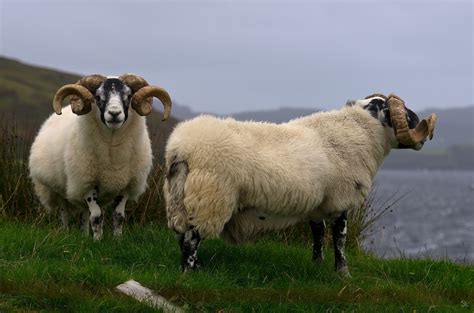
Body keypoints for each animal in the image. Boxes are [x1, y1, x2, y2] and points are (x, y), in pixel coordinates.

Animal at [29, 73, 172, 239]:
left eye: (128, 96)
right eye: (98, 97)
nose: (114, 113)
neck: (112, 152)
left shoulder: (125, 186)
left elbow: (118, 216)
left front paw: (117, 239)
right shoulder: (88, 183)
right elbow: (97, 216)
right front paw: (97, 240)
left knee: (84, 214)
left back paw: (84, 236)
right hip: (58, 189)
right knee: (65, 213)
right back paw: (65, 232)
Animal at [164, 92, 436, 272]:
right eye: (403, 112)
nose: (427, 134)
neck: (361, 133)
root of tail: (180, 148)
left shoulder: (318, 204)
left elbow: (318, 234)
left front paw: (318, 265)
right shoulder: (342, 199)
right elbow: (340, 238)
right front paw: (343, 273)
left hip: (179, 199)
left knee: (182, 235)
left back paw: (193, 267)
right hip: (210, 198)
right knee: (191, 238)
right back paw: (190, 272)